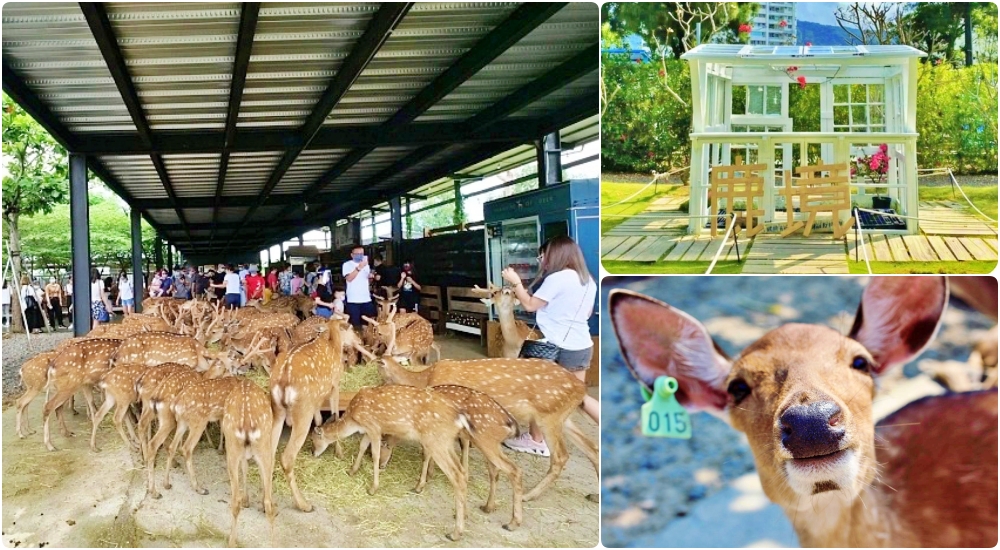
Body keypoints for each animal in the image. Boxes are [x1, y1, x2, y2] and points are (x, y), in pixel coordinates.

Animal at [223, 382, 276, 548]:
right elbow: (248, 468)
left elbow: (245, 468)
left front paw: (247, 500)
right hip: (263, 446)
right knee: (268, 502)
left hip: (232, 448)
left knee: (235, 501)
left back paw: (231, 542)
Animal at [270, 316, 344, 516]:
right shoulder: (335, 385)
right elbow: (335, 415)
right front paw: (339, 452)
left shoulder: (317, 400)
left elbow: (320, 419)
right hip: (302, 411)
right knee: (287, 457)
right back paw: (304, 504)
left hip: (278, 410)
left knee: (268, 452)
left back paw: (268, 505)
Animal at [312, 386, 468, 540]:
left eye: (314, 440)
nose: (313, 453)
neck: (354, 420)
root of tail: (459, 419)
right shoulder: (368, 430)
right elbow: (362, 446)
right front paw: (352, 470)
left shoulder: (374, 427)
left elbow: (375, 454)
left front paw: (373, 488)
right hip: (445, 442)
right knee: (461, 470)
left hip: (435, 440)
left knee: (456, 475)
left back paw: (455, 533)